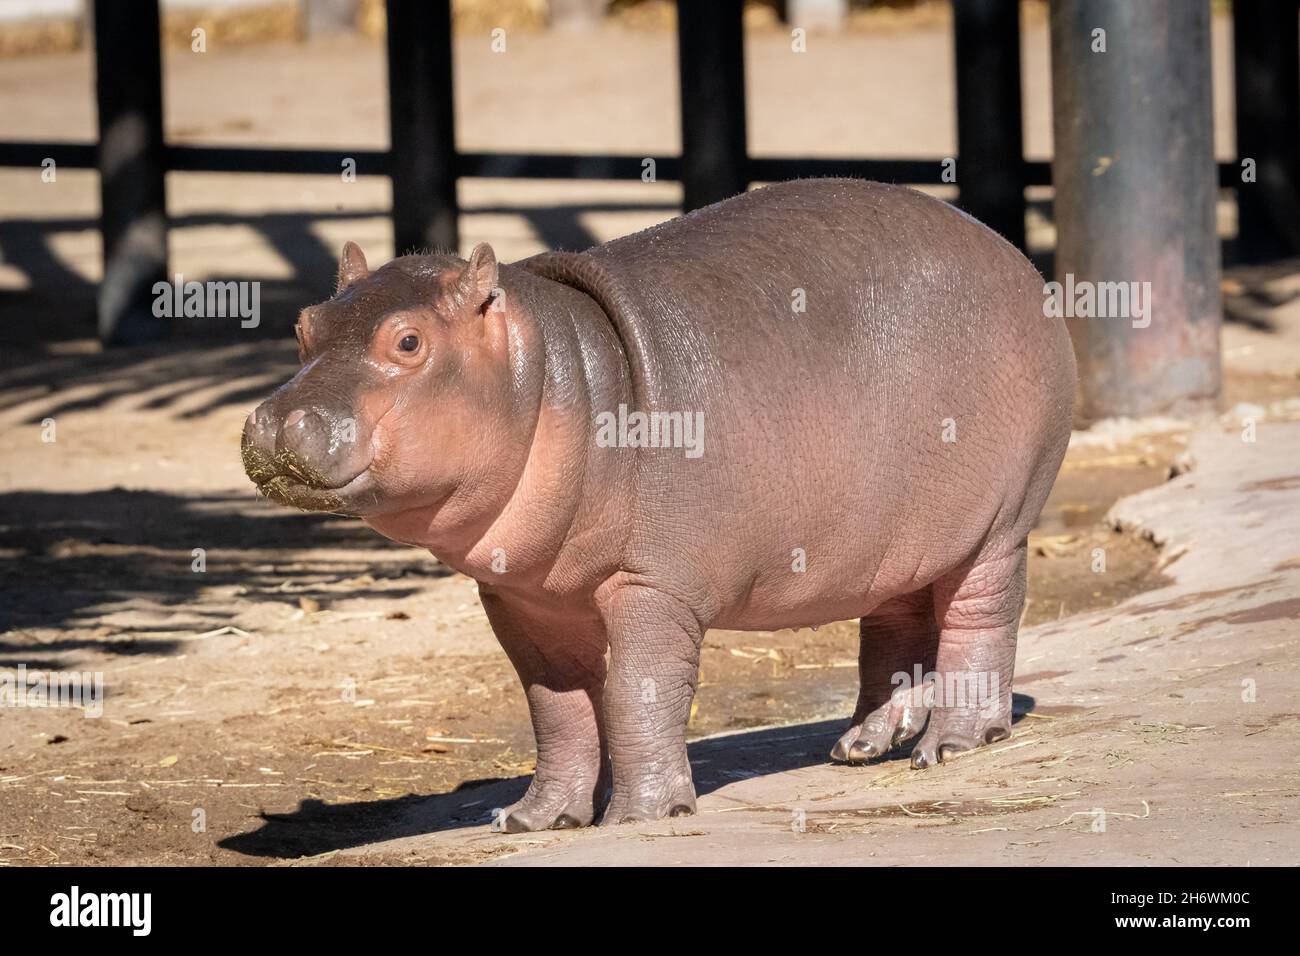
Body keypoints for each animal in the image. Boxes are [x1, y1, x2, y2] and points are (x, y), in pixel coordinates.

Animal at [244, 178, 1076, 832]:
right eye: (303, 327)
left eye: (409, 341)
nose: (278, 421)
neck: (554, 370)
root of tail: (1012, 254)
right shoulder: (522, 600)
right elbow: (557, 708)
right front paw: (531, 819)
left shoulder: (653, 585)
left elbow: (636, 694)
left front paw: (641, 815)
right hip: (895, 532)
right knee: (895, 621)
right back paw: (860, 746)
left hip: (999, 523)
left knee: (981, 617)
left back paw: (954, 743)